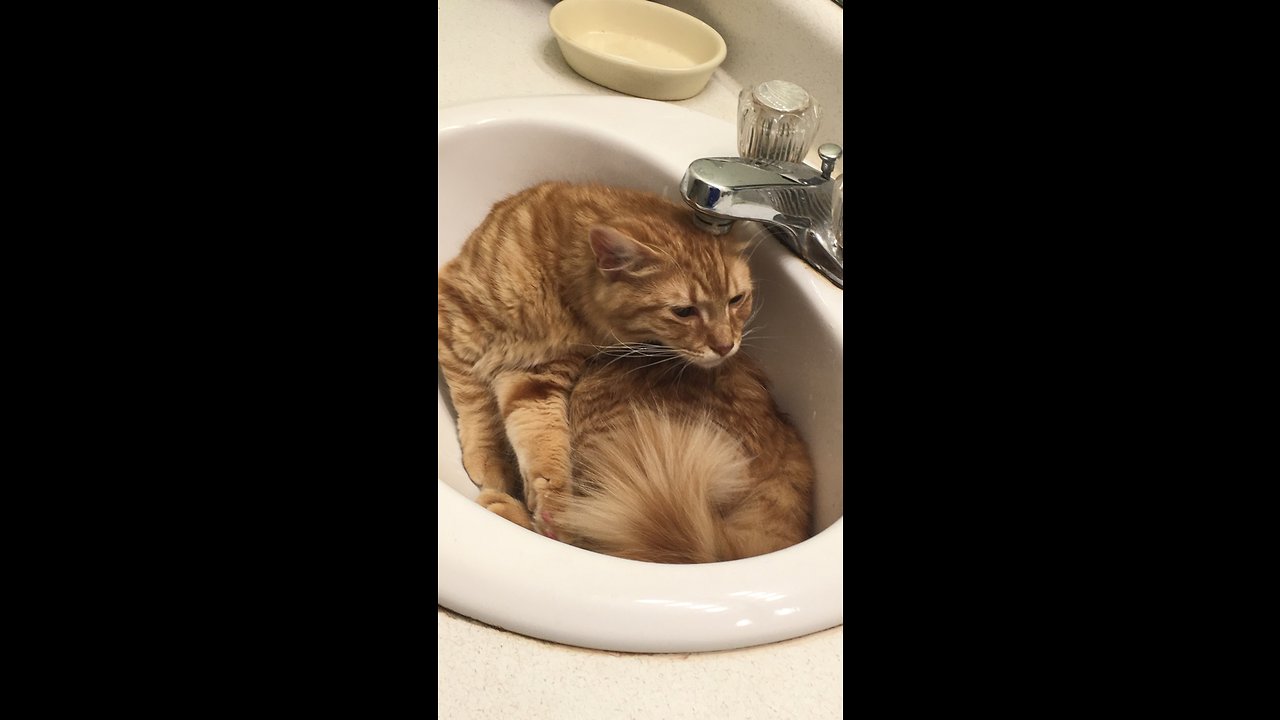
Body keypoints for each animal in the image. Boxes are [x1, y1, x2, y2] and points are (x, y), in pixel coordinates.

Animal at [440, 181, 752, 535]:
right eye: (684, 311)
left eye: (736, 300)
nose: (726, 346)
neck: (560, 295)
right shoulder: (457, 315)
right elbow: (477, 403)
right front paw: (490, 456)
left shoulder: (537, 375)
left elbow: (542, 439)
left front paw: (555, 503)